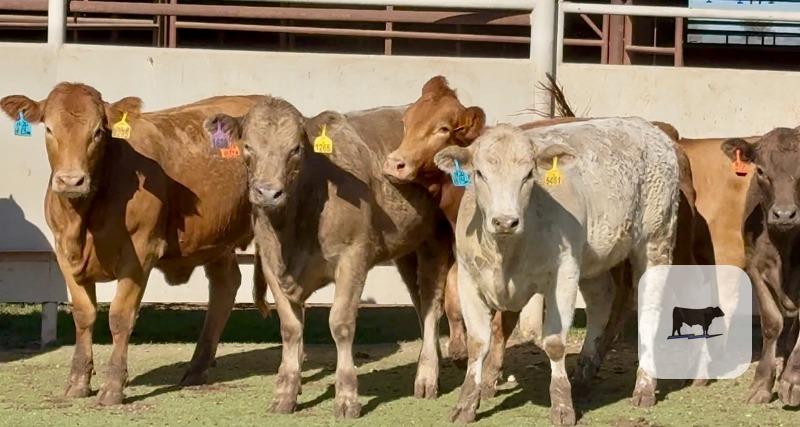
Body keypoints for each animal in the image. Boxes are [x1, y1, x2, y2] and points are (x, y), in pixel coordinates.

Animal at [0, 83, 262, 405]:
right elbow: (84, 314)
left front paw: (113, 387)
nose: (71, 181)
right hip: (217, 238)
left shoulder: (140, 251)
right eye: (49, 128)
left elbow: (120, 317)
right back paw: (196, 370)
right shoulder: (64, 252)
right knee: (225, 284)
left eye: (98, 132)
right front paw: (78, 382)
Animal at [205, 97, 451, 418]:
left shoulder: (353, 257)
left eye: (296, 149)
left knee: (433, 305)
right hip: (407, 248)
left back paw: (427, 378)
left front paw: (347, 398)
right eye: (247, 145)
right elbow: (290, 328)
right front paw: (285, 393)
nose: (268, 193)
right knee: (420, 302)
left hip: (437, 239)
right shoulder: (272, 265)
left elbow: (341, 324)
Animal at [435, 119, 680, 425]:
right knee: (601, 299)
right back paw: (584, 376)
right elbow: (478, 343)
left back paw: (644, 387)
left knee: (648, 309)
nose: (505, 221)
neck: (506, 254)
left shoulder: (563, 275)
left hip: (655, 241)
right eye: (479, 173)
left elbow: (553, 343)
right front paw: (466, 404)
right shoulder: (469, 279)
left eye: (529, 174)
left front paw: (562, 406)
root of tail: (647, 127)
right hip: (591, 258)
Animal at [721, 128, 800, 407]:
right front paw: (762, 384)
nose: (785, 214)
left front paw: (793, 381)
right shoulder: (754, 266)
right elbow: (771, 322)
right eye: (762, 171)